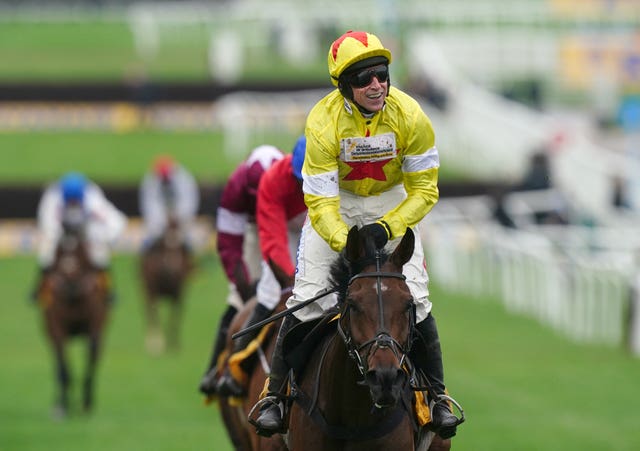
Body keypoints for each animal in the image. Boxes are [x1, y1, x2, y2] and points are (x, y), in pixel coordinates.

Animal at [39, 210, 111, 418]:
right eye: (60, 248)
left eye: (79, 248)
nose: (68, 274)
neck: (73, 295)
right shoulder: (56, 327)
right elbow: (63, 366)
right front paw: (62, 406)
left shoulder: (96, 325)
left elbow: (92, 358)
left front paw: (87, 402)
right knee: (57, 363)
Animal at [138, 214, 192, 354]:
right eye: (165, 243)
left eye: (180, 245)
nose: (174, 268)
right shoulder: (152, 291)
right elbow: (155, 314)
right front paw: (156, 344)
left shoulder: (179, 293)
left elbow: (175, 317)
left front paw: (174, 345)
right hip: (146, 290)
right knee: (150, 313)